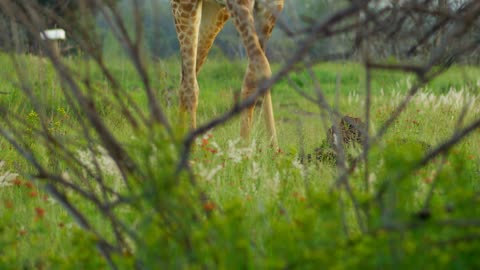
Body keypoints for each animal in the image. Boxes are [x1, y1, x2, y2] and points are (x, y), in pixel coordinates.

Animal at [172, 0, 284, 148]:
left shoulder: (272, 6)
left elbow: (253, 77)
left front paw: (245, 146)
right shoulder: (239, 4)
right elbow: (263, 68)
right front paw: (275, 150)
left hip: (216, 11)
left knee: (185, 77)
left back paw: (178, 138)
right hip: (185, 5)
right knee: (190, 84)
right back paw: (190, 147)